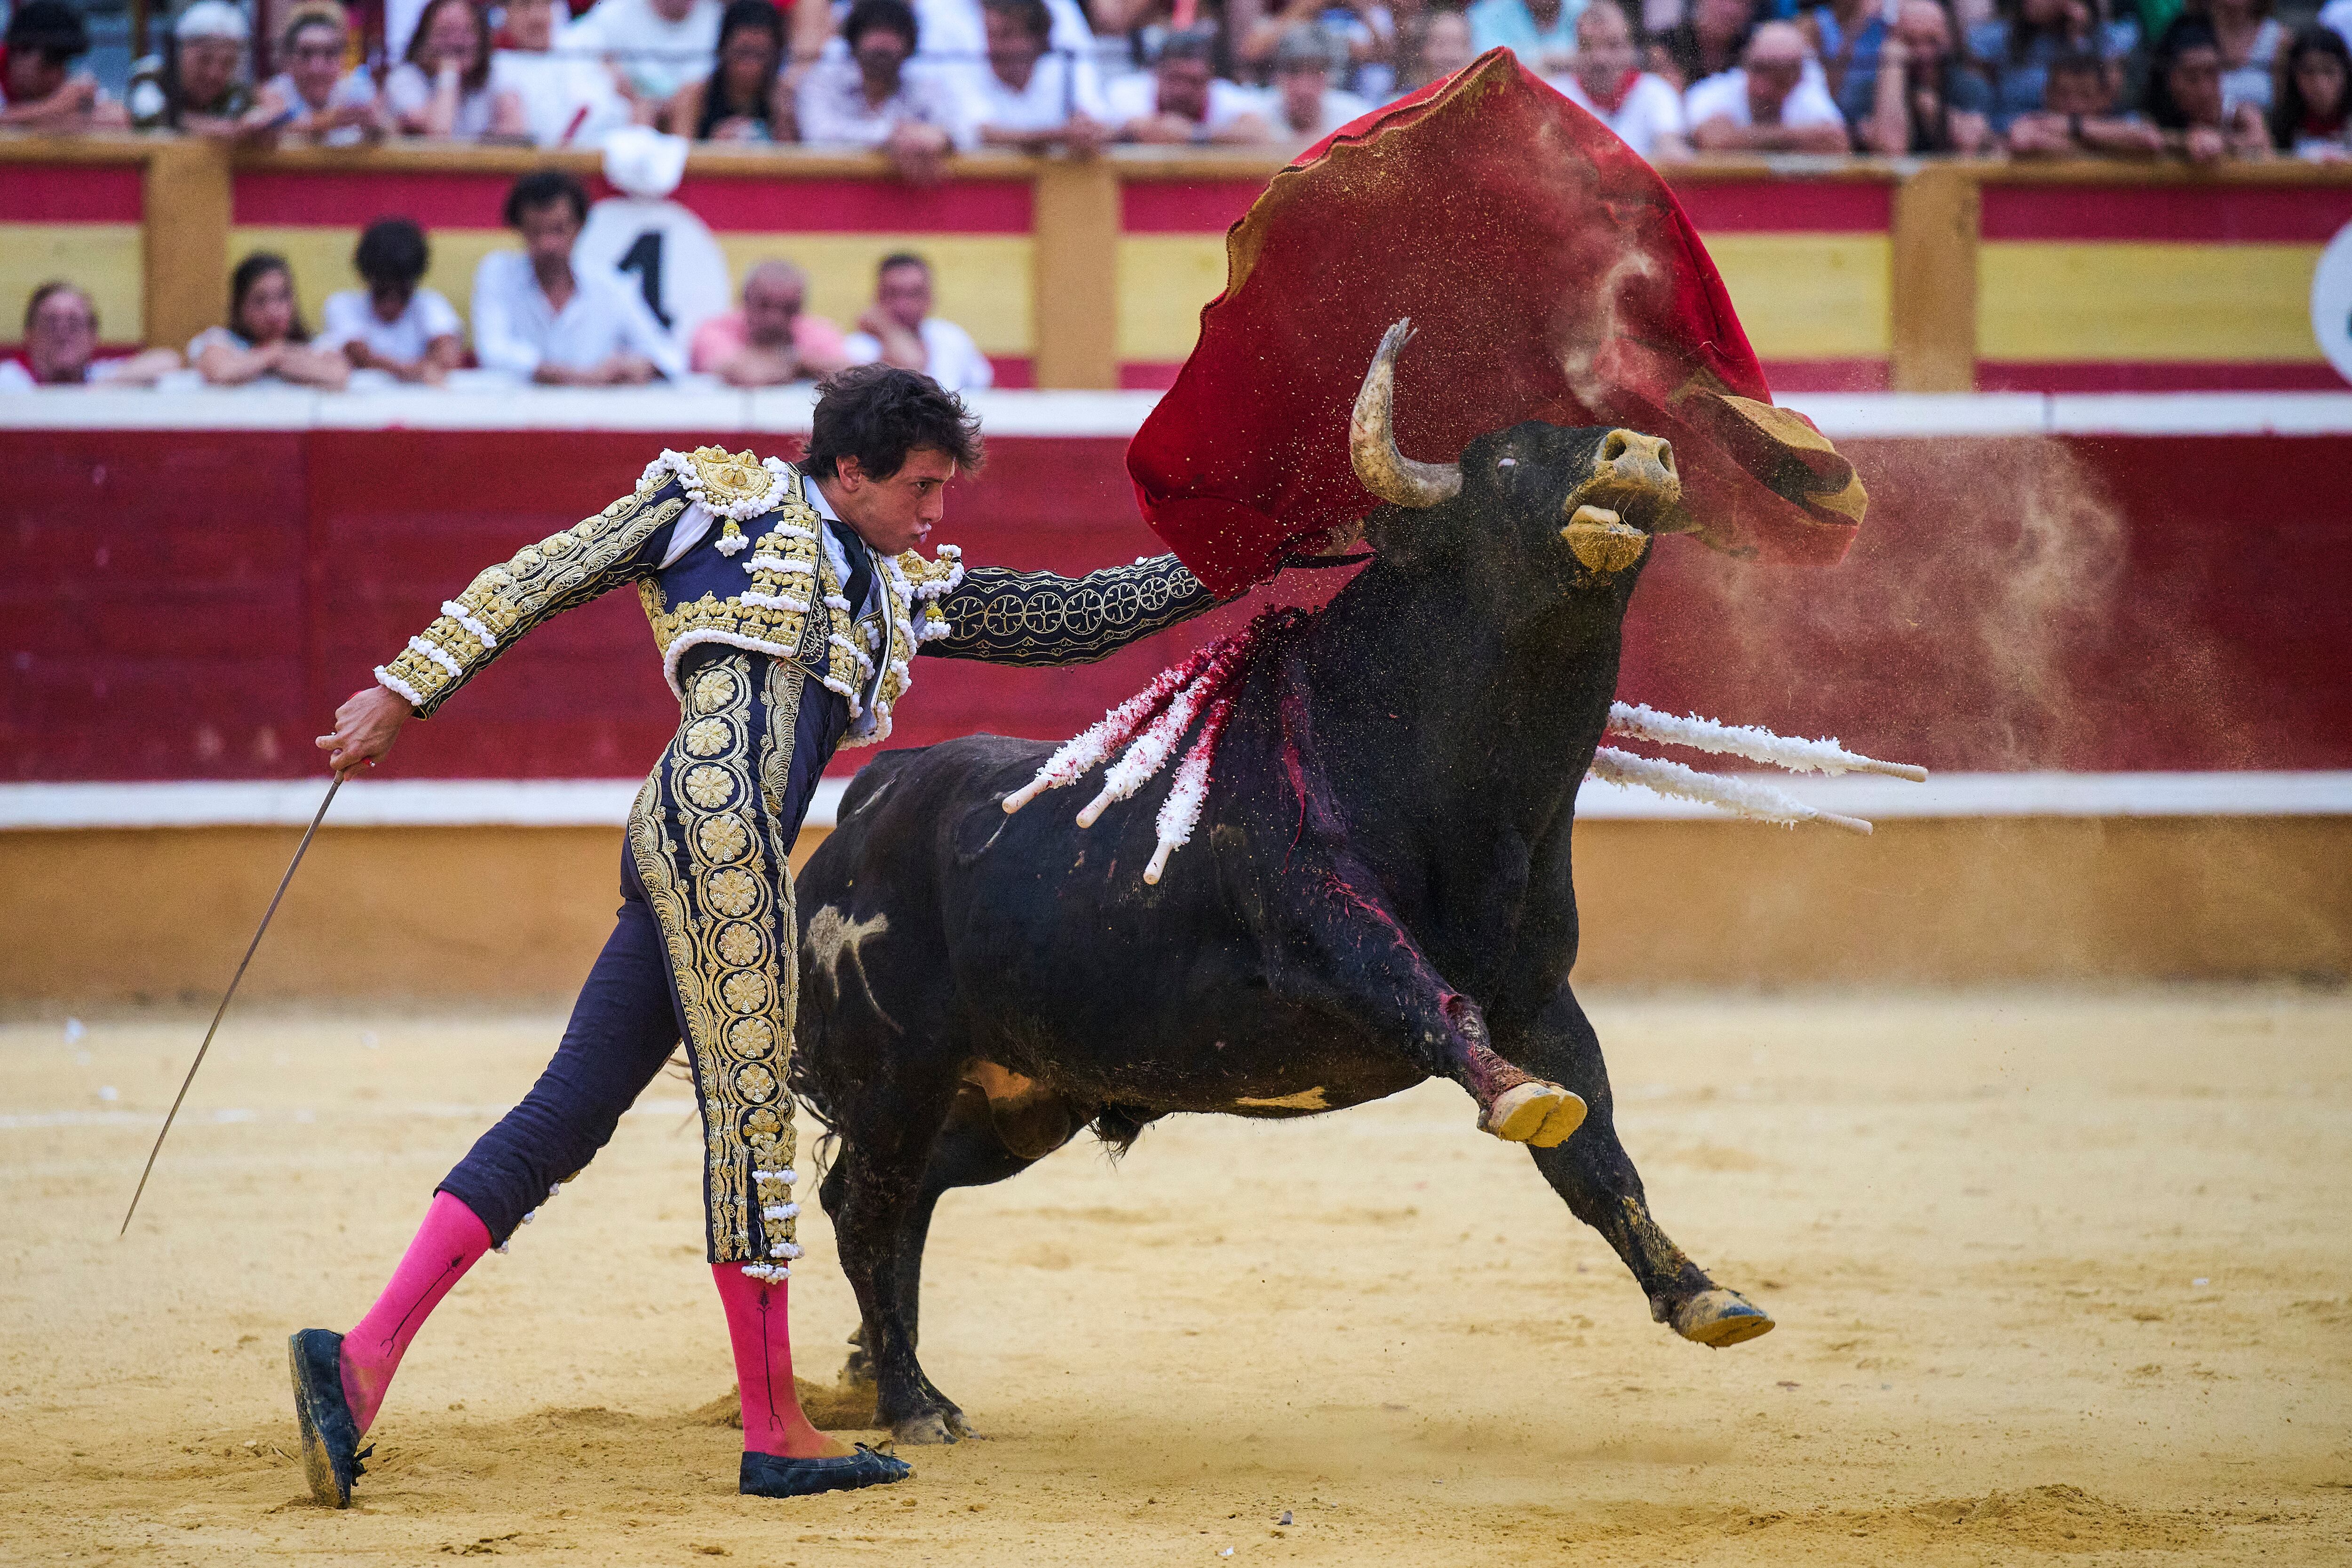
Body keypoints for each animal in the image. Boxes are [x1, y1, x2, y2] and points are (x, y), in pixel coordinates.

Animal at [795, 329, 1778, 1448]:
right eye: (1502, 462)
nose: (1639, 453)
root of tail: (871, 799)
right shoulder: (1327, 931)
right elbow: (1436, 1006)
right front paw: (1516, 1096)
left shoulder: (1540, 996)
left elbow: (1597, 1153)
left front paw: (1702, 1293)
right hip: (897, 1070)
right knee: (866, 1206)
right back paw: (913, 1402)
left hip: (1014, 1096)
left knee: (899, 1197)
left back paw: (884, 1376)